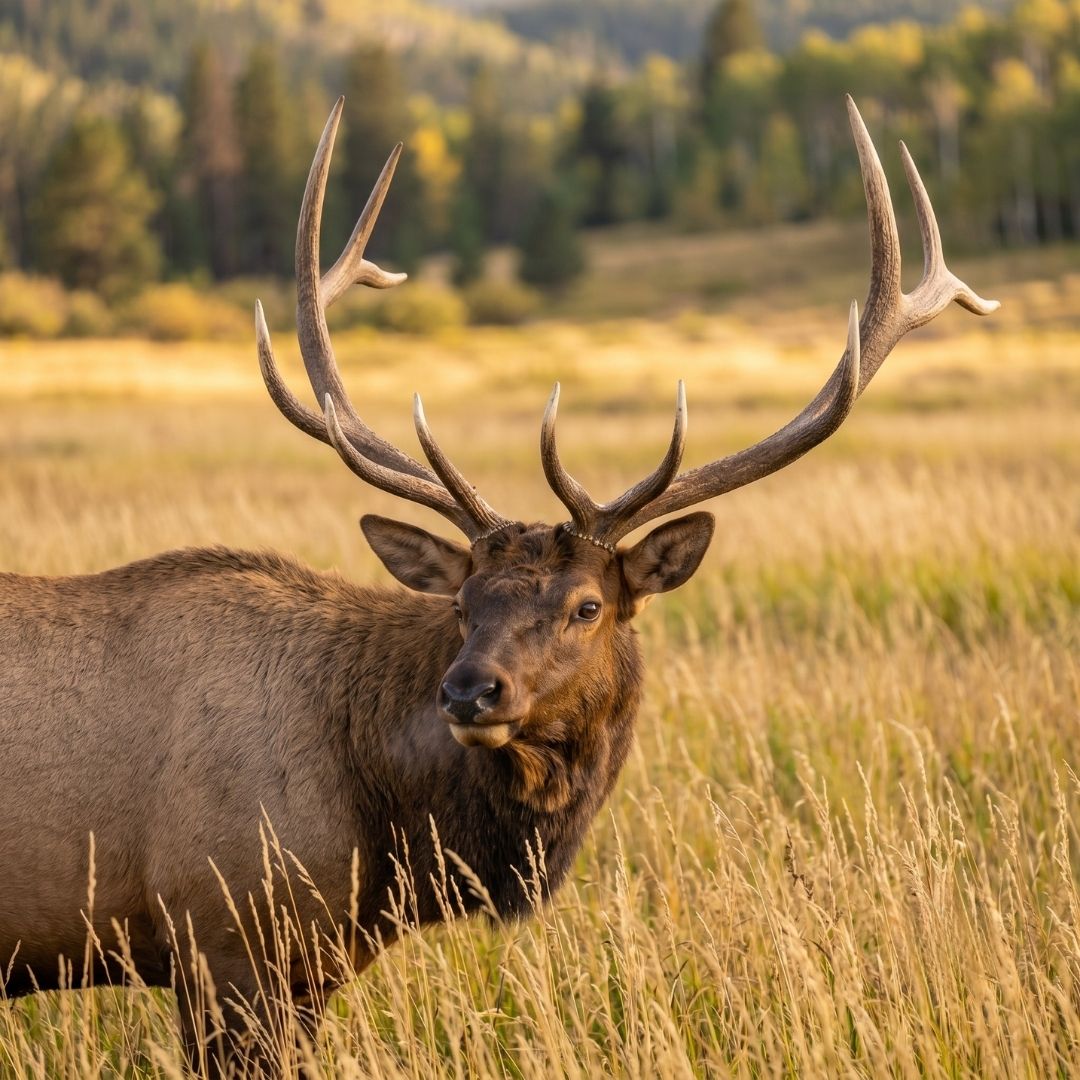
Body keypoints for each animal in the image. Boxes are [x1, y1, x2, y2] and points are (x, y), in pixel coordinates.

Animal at [0, 95, 997, 1076]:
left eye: (587, 606)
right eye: (461, 606)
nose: (469, 691)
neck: (388, 837)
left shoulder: (294, 970)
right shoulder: (223, 939)